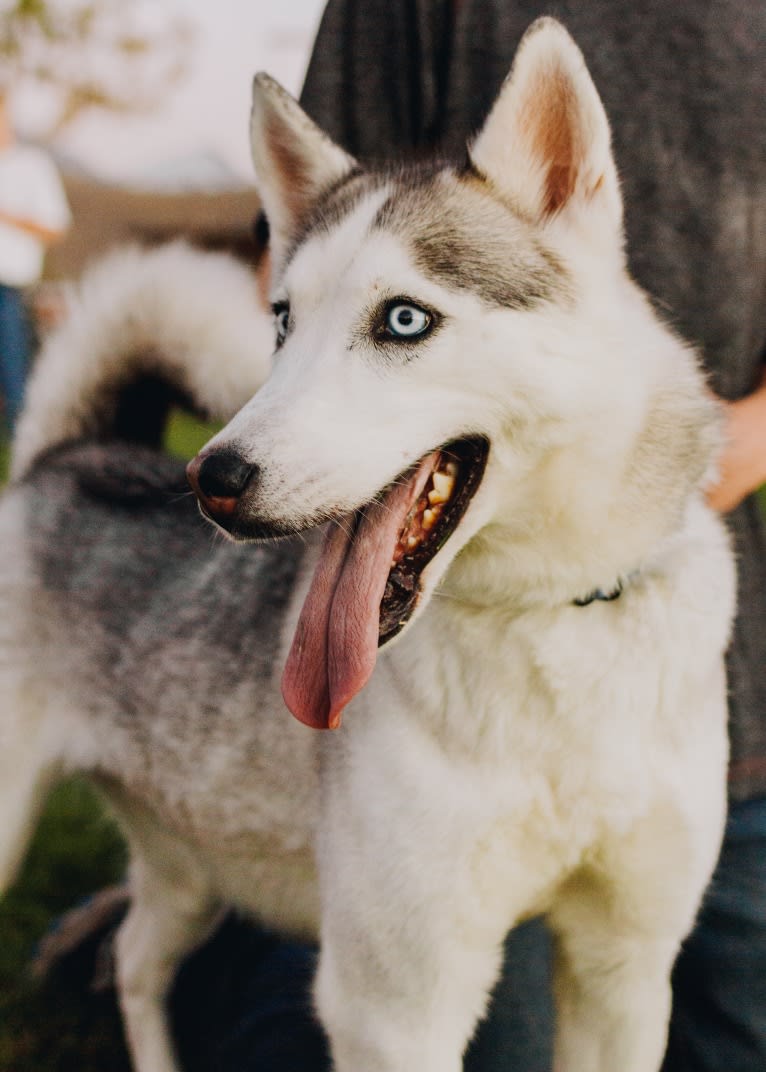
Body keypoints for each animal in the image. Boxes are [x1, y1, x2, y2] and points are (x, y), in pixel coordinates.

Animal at [0, 16, 737, 1072]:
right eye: (280, 321)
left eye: (403, 319)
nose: (212, 479)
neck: (546, 615)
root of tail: (67, 456)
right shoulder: (396, 1009)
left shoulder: (623, 975)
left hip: (192, 866)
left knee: (137, 957)